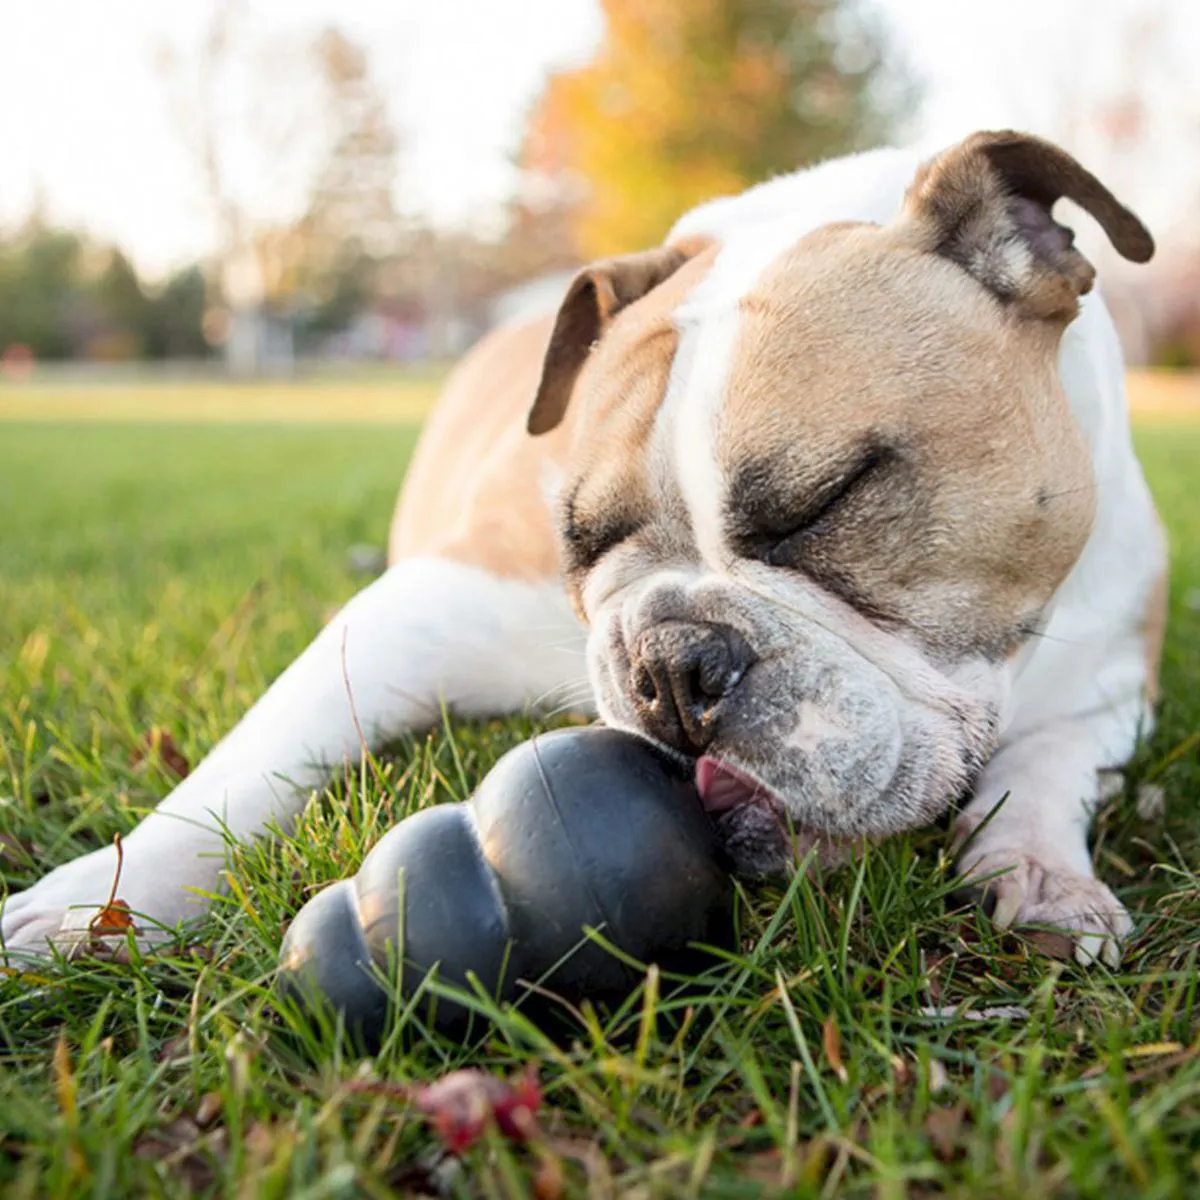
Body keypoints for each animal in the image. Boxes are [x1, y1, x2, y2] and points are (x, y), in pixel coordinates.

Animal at [0, 131, 1161, 969]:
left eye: (827, 502)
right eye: (580, 537)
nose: (670, 662)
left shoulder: (1112, 671)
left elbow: (1051, 760)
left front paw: (1042, 871)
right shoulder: (421, 607)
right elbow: (250, 756)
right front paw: (98, 904)